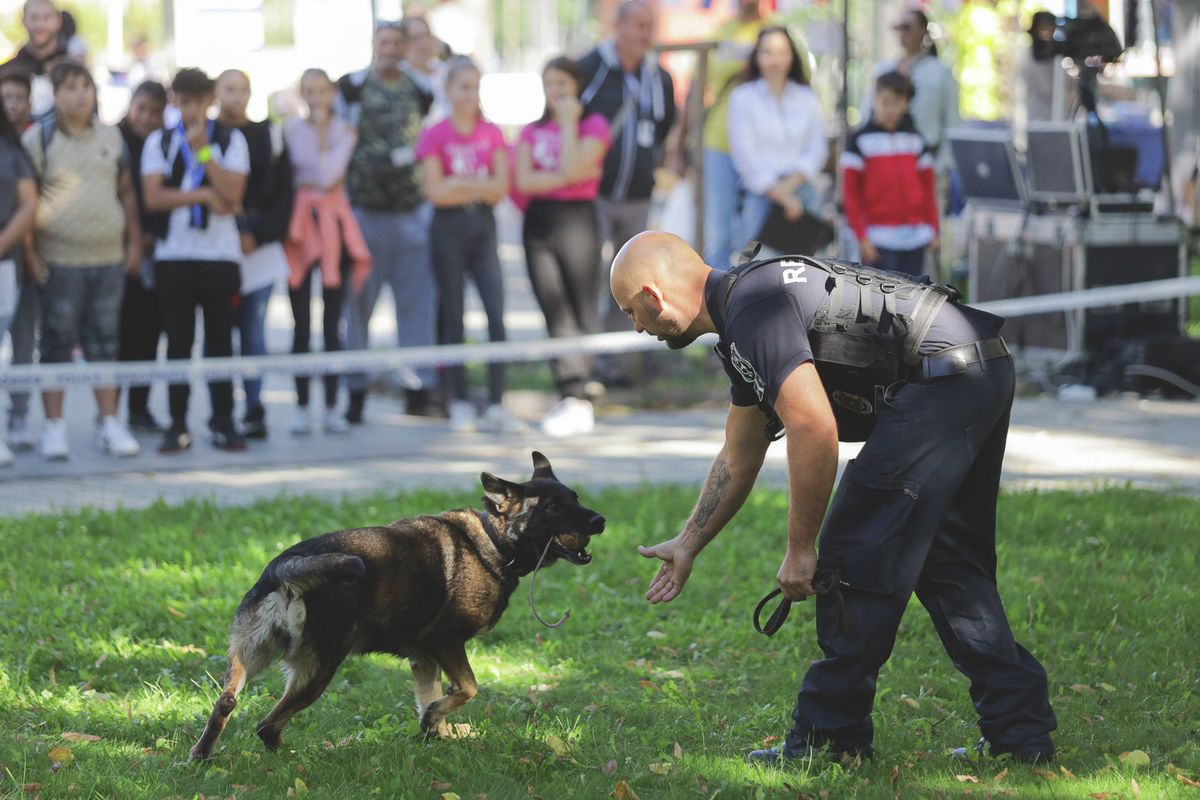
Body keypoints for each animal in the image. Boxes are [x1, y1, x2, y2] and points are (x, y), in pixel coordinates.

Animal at [192, 453, 604, 762]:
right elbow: (469, 687)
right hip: (319, 671)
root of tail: (284, 568)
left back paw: (202, 755)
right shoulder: (444, 642)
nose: (601, 520)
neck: (494, 540)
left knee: (227, 703)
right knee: (266, 726)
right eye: (552, 507)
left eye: (575, 497)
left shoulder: (423, 659)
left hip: (248, 657)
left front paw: (437, 733)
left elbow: (430, 698)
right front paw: (437, 721)